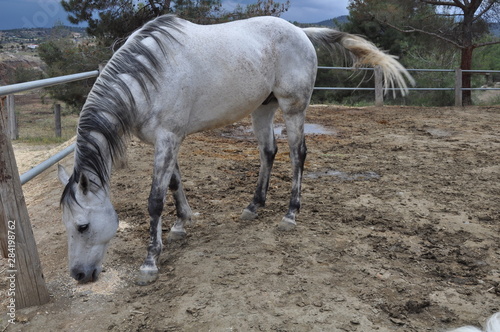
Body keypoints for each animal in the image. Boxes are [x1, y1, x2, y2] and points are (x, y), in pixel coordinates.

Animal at [57, 14, 414, 284]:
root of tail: (301, 32)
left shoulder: (168, 138)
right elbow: (174, 183)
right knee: (268, 151)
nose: (79, 275)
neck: (148, 77)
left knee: (297, 154)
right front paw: (182, 223)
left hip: (293, 108)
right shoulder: (168, 140)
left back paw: (290, 214)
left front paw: (149, 263)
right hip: (263, 108)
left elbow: (155, 200)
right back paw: (254, 206)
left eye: (82, 226)